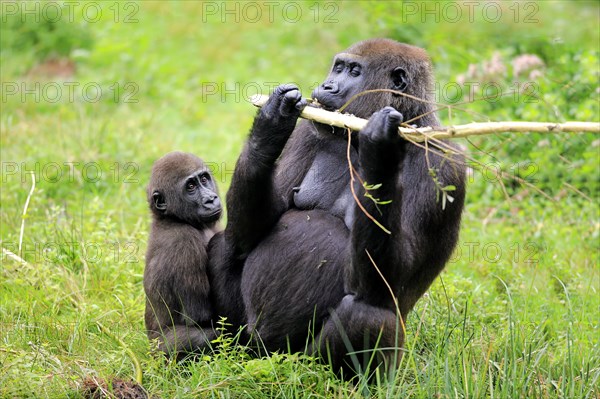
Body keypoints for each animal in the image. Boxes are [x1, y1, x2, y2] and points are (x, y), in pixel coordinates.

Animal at [144, 152, 221, 360]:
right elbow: (200, 316)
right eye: (191, 187)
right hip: (156, 351)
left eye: (204, 179)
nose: (211, 199)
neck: (171, 218)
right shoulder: (185, 243)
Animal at [209, 38, 466, 376]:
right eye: (337, 68)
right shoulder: (309, 131)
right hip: (250, 348)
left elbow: (392, 279)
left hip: (301, 361)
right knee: (225, 247)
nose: (327, 86)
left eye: (354, 72)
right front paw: (270, 124)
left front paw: (380, 150)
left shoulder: (442, 162)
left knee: (368, 313)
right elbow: (252, 232)